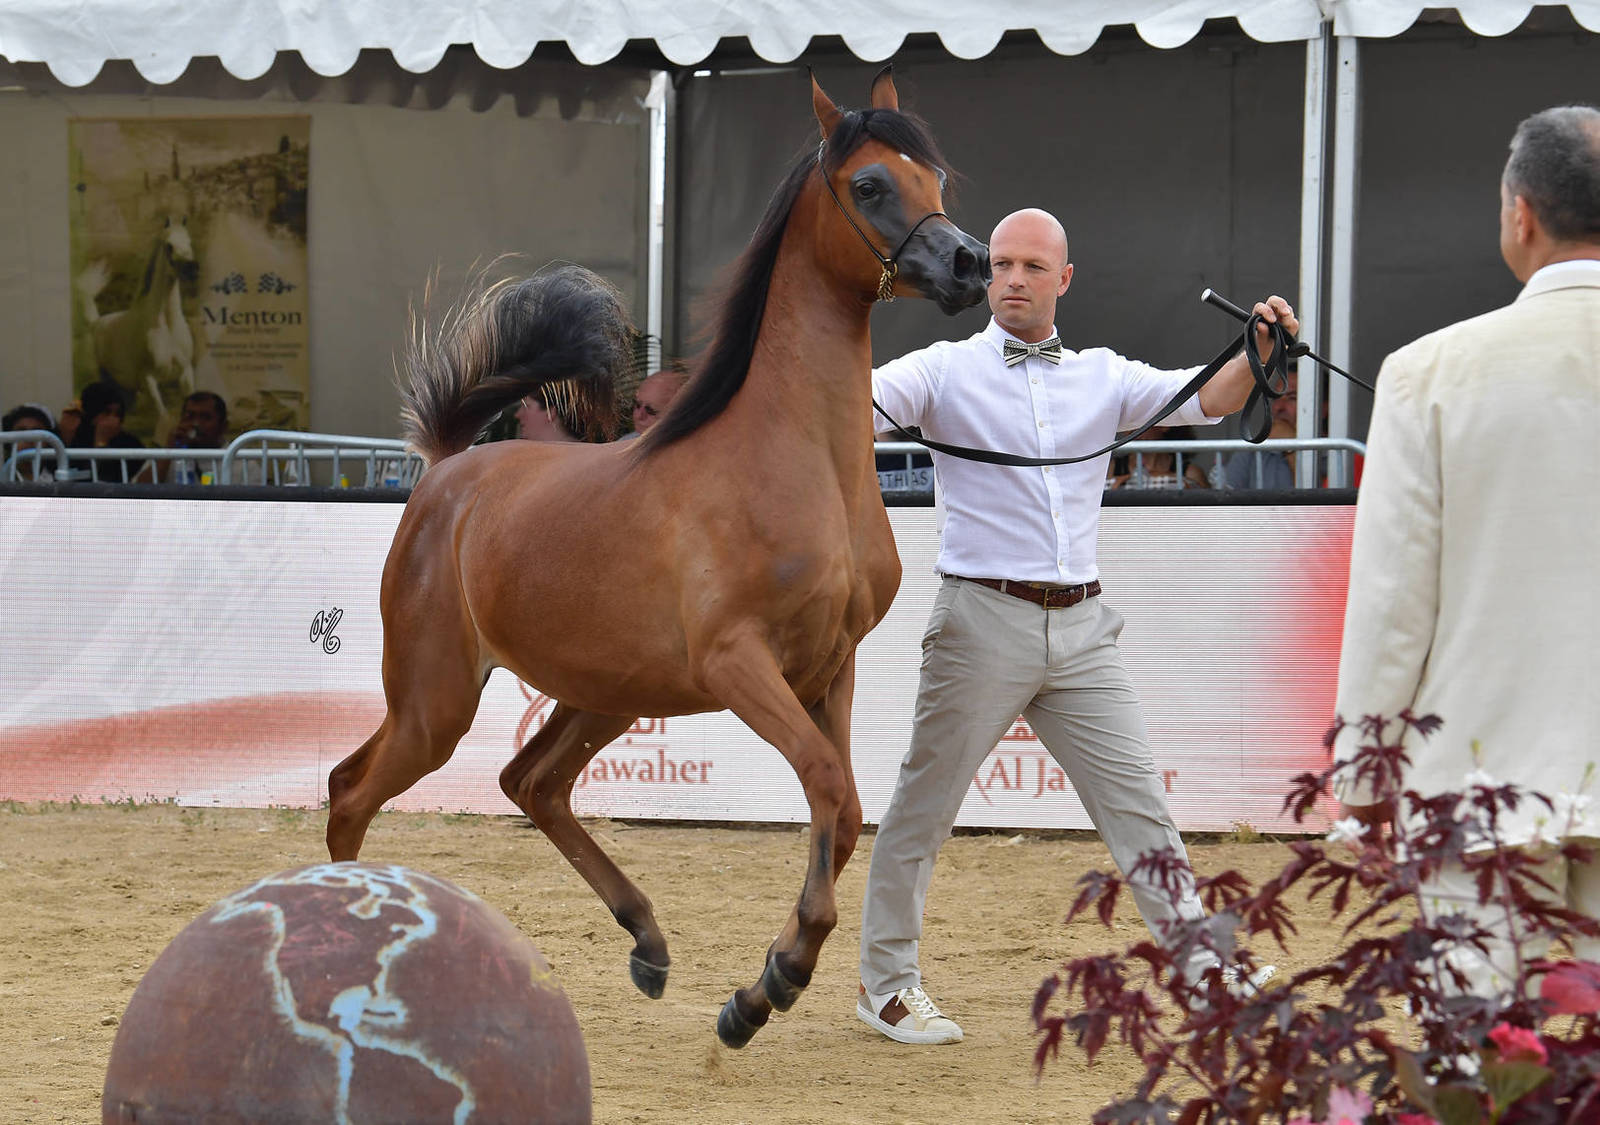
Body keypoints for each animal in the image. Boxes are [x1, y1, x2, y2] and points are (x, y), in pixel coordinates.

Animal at [78, 211, 199, 430]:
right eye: (169, 245)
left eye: (189, 242)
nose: (192, 270)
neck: (166, 327)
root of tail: (95, 323)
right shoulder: (148, 378)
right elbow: (164, 417)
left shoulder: (186, 373)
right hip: (102, 378)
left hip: (126, 390)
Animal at [325, 69, 990, 1048]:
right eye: (870, 184)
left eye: (933, 178)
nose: (970, 263)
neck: (795, 459)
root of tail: (449, 468)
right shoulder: (739, 663)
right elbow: (829, 787)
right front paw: (777, 977)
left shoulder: (830, 665)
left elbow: (843, 812)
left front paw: (758, 993)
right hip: (434, 700)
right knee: (351, 791)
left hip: (603, 692)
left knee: (531, 781)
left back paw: (648, 943)